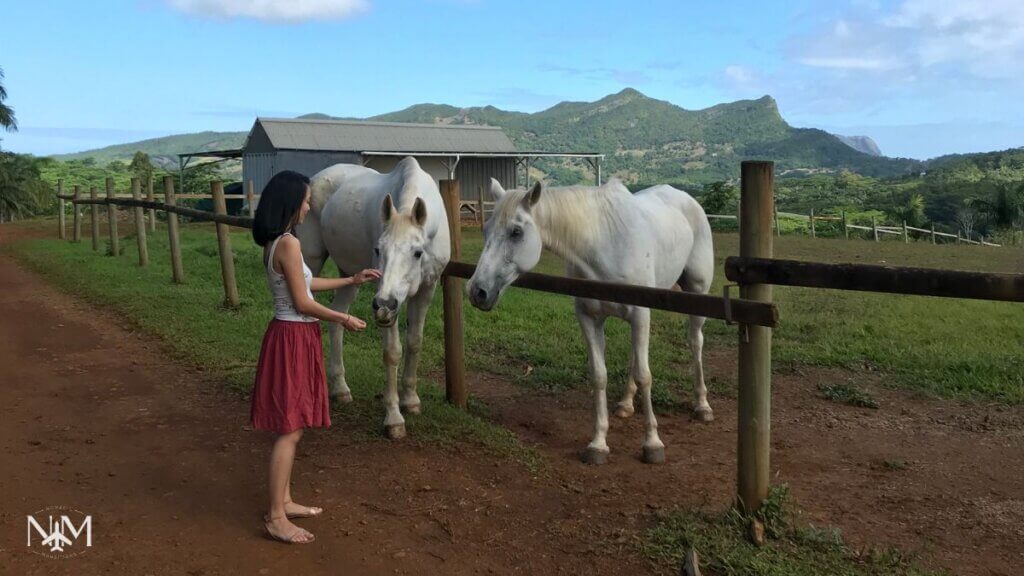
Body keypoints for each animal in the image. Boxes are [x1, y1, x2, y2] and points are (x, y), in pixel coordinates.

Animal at [295, 157, 451, 439]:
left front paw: (410, 400)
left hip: (349, 274)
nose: (384, 305)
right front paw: (394, 418)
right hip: (311, 261)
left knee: (337, 318)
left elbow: (415, 343)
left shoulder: (427, 289)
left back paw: (340, 389)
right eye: (379, 249)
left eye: (417, 252)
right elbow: (392, 352)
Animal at [466, 178, 714, 464]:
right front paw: (598, 444)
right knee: (635, 355)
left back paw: (702, 406)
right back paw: (626, 404)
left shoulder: (640, 314)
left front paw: (652, 444)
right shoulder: (589, 319)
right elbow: (599, 375)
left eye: (516, 232)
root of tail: (688, 199)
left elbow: (644, 376)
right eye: (485, 230)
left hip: (696, 294)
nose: (477, 291)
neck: (603, 244)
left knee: (695, 343)